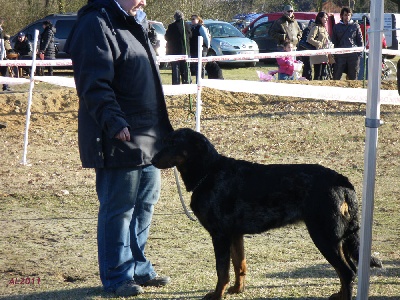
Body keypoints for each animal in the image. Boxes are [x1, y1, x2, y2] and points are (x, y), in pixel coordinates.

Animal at [152, 127, 382, 298]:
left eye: (173, 144)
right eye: (164, 141)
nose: (152, 160)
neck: (208, 172)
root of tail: (343, 182)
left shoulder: (220, 236)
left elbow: (222, 271)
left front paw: (218, 295)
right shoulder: (235, 235)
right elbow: (239, 265)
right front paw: (237, 290)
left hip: (325, 237)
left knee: (346, 272)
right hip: (338, 238)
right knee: (349, 271)